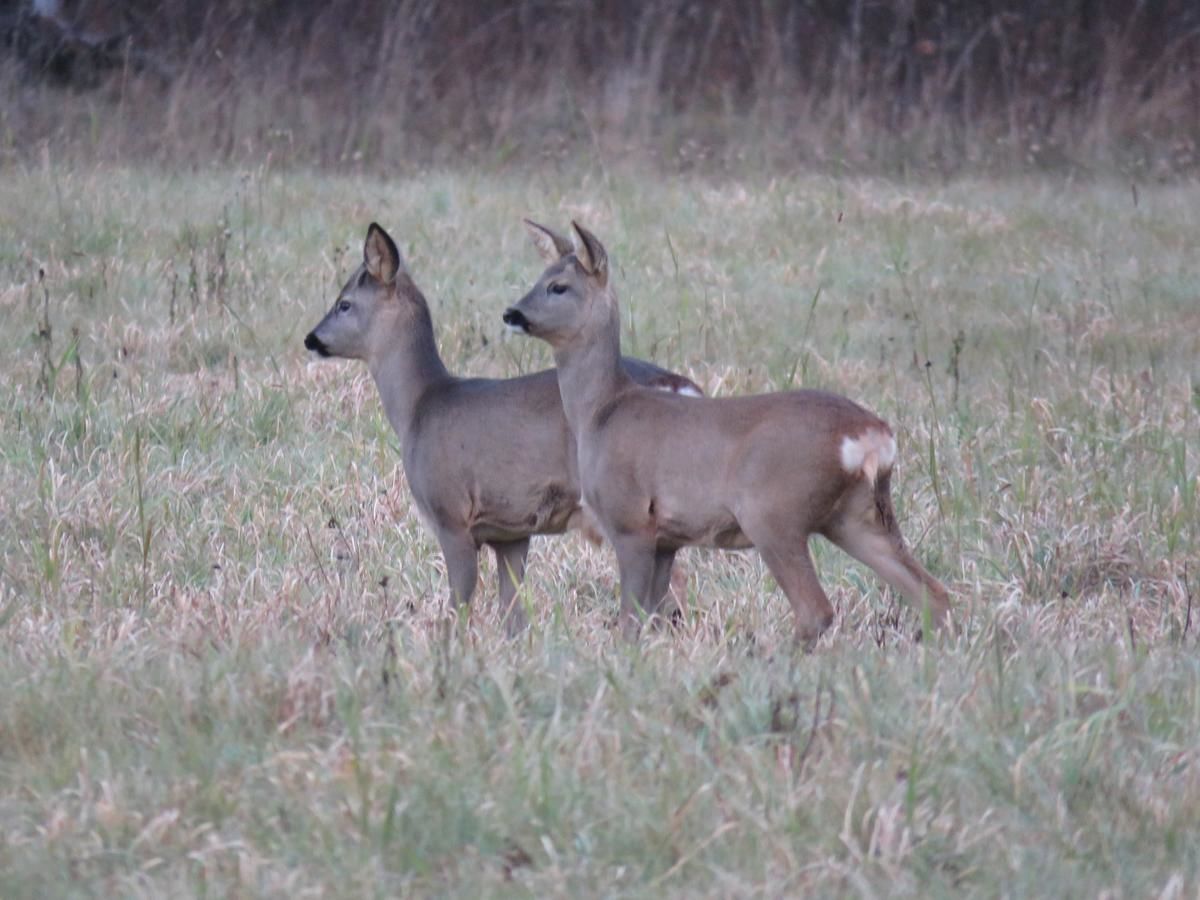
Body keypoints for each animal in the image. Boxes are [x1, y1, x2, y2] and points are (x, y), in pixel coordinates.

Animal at [300, 223, 705, 638]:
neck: (421, 406)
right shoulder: (511, 531)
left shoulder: (451, 512)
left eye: (344, 303)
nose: (311, 338)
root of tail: (681, 386)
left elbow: (459, 604)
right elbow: (512, 613)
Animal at [501, 224, 950, 648]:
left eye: (559, 286)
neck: (601, 411)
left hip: (773, 512)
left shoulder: (630, 518)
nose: (512, 313)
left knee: (816, 610)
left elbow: (631, 620)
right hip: (857, 515)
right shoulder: (668, 537)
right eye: (539, 276)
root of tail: (871, 437)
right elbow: (651, 614)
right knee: (933, 594)